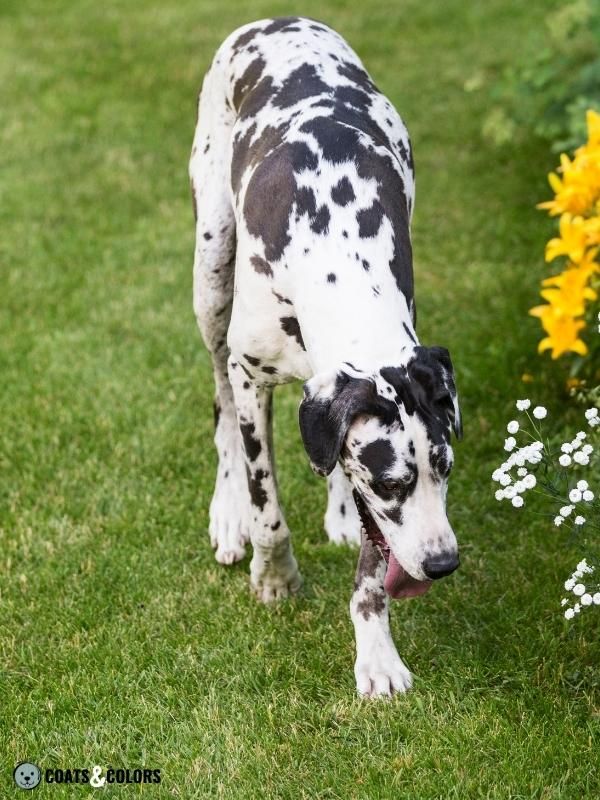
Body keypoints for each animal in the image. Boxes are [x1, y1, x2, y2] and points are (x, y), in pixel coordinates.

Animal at [190, 15, 462, 696]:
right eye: (393, 483)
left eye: (445, 467)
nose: (442, 563)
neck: (337, 248)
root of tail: (274, 20)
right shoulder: (250, 376)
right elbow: (267, 505)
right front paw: (274, 576)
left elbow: (371, 564)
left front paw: (377, 654)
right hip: (210, 274)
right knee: (218, 403)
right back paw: (227, 513)